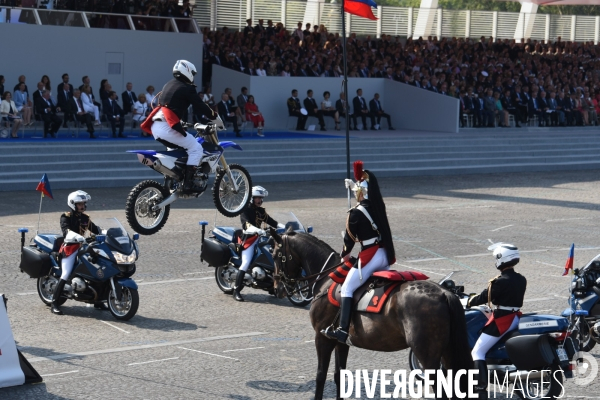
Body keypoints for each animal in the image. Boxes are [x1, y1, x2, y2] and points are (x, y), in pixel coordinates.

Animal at [270, 228, 474, 400]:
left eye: (275, 255)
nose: (277, 287)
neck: (327, 279)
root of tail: (444, 292)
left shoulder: (322, 338)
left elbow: (320, 376)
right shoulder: (341, 342)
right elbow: (338, 375)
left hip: (427, 355)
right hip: (447, 353)